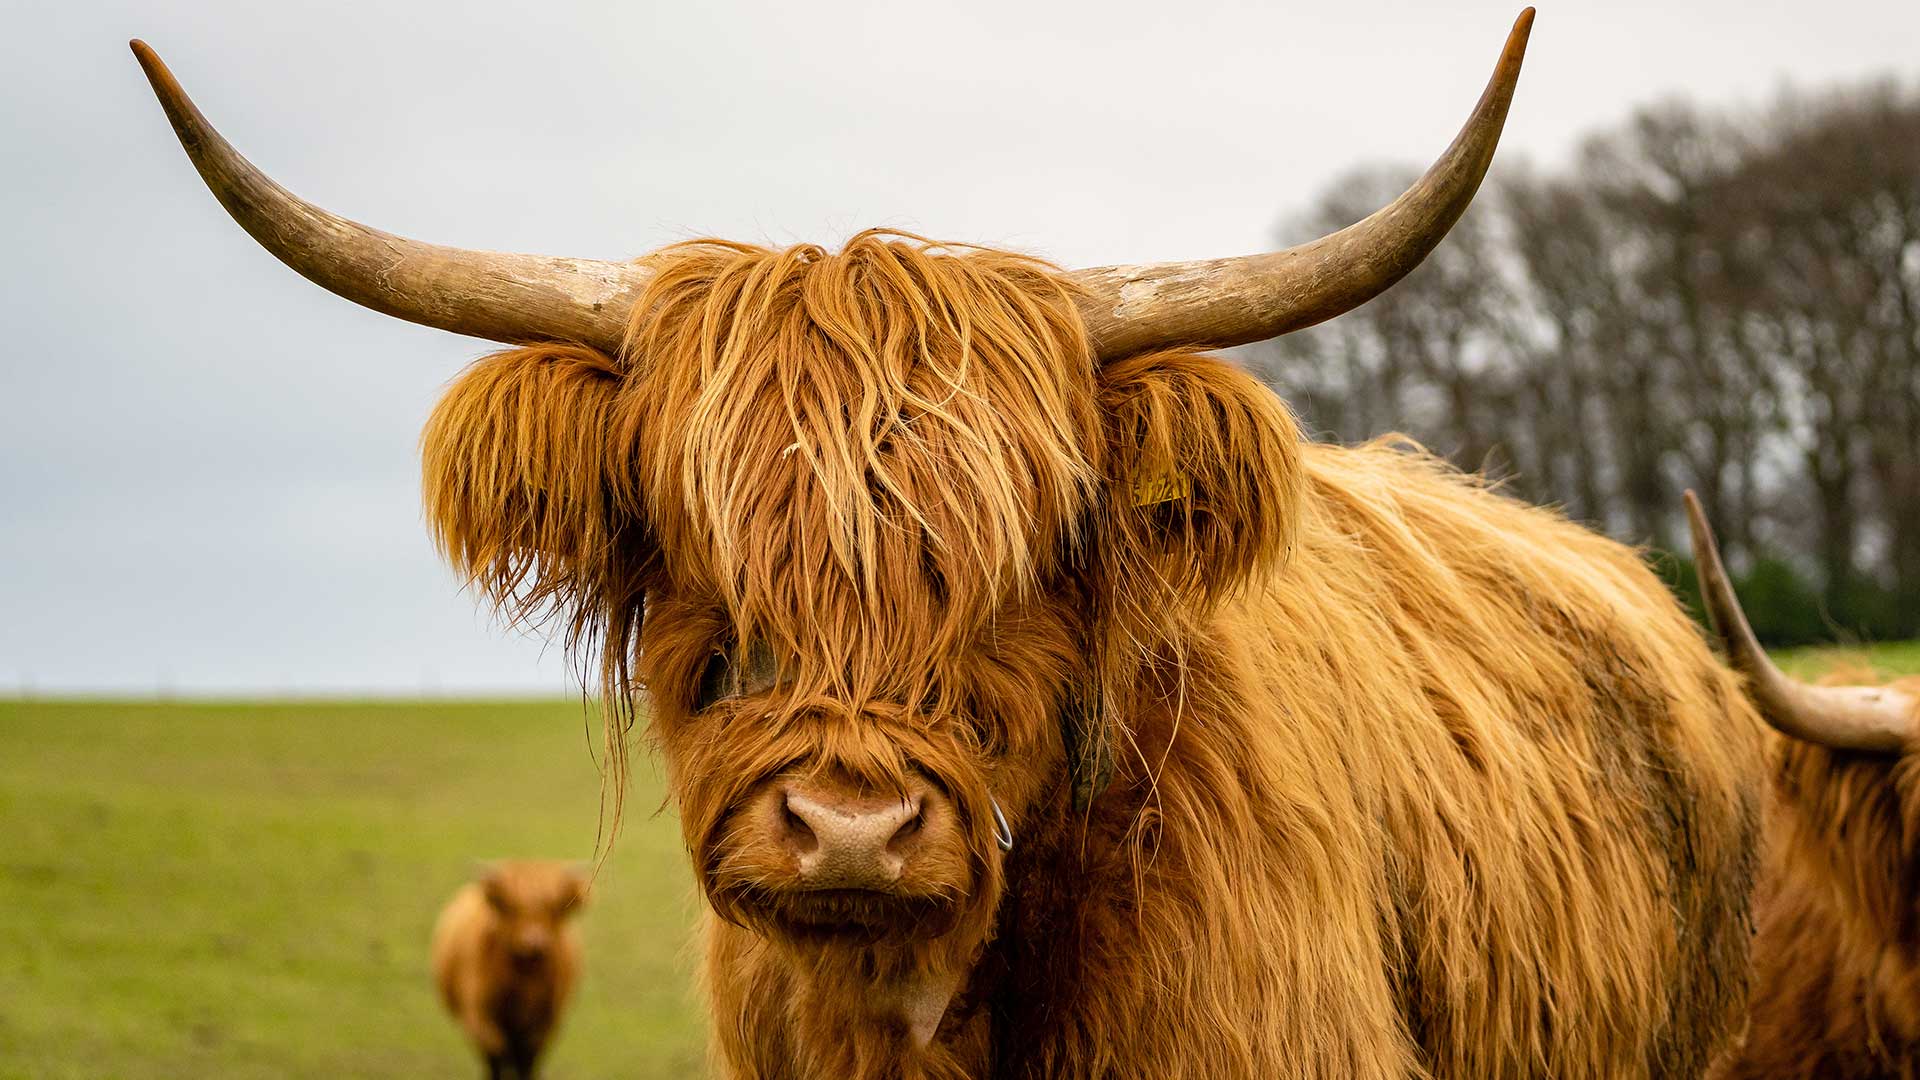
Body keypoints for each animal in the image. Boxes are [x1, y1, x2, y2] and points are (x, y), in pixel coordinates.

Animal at [431, 861, 588, 1080]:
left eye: (554, 907)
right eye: (512, 907)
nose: (534, 942)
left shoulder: (543, 1028)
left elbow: (527, 1064)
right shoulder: (482, 1020)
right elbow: (496, 1059)